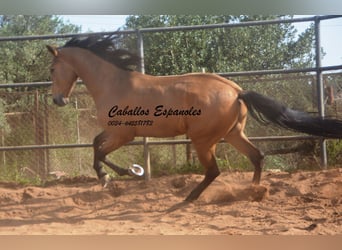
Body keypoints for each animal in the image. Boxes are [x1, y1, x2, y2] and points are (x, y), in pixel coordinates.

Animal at [47, 34, 342, 201]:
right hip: (232, 134)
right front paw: (113, 176)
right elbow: (95, 145)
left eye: (51, 69)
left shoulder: (124, 133)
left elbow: (98, 151)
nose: (57, 100)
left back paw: (189, 198)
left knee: (214, 171)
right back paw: (252, 192)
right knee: (257, 156)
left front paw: (116, 175)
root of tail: (237, 91)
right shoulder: (116, 131)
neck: (114, 83)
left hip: (203, 140)